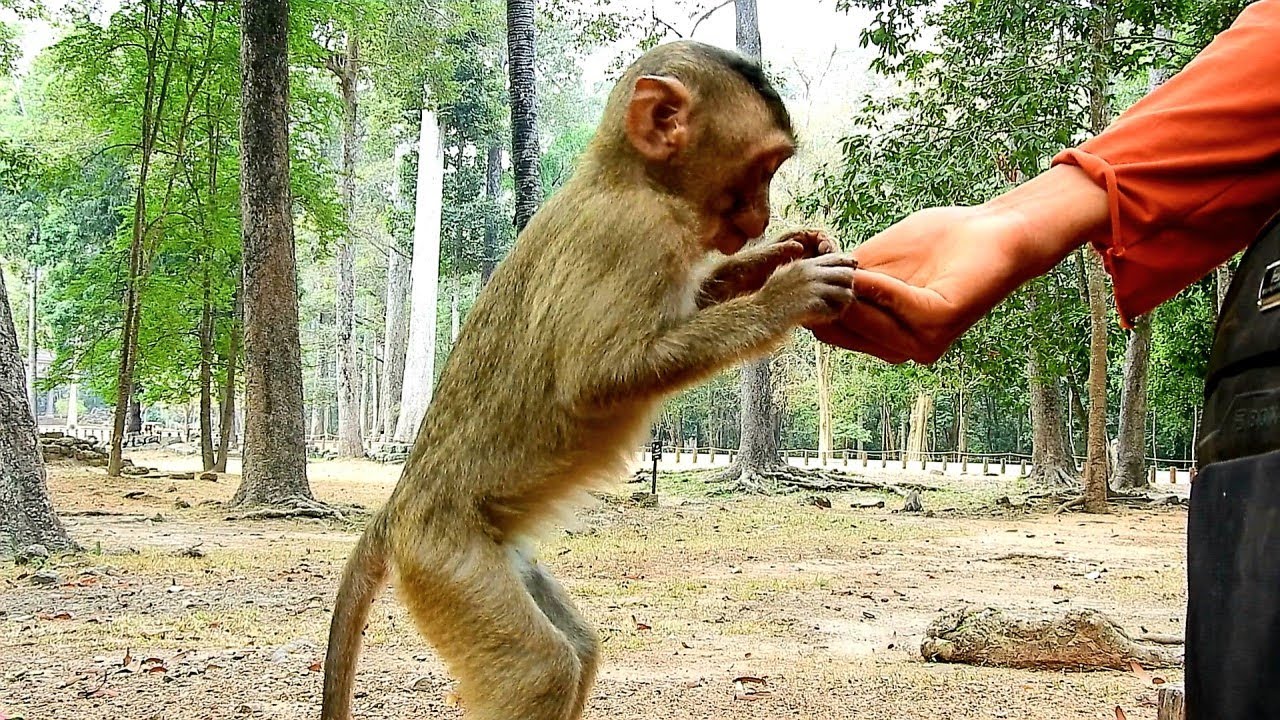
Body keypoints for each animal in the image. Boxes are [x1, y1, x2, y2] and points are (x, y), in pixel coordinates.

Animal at [320, 39, 856, 720]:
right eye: (763, 167)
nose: (761, 217)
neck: (626, 177)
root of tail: (396, 509)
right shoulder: (633, 234)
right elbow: (595, 378)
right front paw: (785, 294)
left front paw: (778, 256)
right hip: (445, 558)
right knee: (540, 671)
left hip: (496, 555)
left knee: (575, 647)